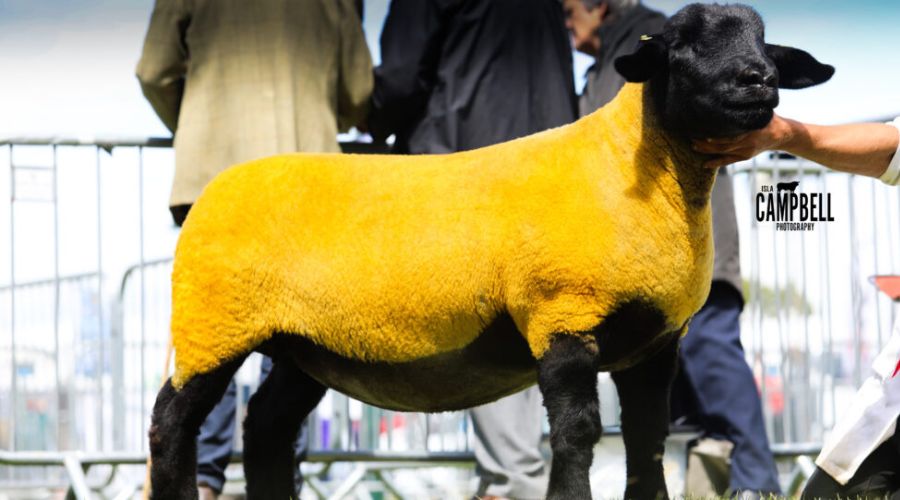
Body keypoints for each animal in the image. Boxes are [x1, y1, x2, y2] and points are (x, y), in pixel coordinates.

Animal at [146, 4, 828, 500]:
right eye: (681, 45)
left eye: (765, 42)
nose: (759, 79)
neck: (631, 169)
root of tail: (216, 187)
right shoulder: (562, 314)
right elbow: (577, 433)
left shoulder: (655, 342)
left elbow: (647, 439)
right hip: (213, 321)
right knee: (171, 423)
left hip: (304, 346)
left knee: (265, 428)